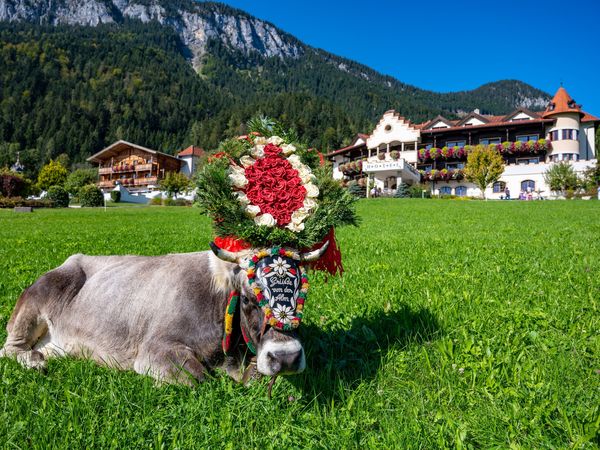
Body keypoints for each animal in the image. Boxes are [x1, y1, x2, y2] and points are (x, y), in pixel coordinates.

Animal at [0, 241, 328, 384]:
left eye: (302, 298)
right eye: (248, 299)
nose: (286, 357)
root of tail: (69, 260)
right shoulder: (155, 349)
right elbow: (199, 379)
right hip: (33, 305)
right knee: (9, 349)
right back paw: (34, 362)